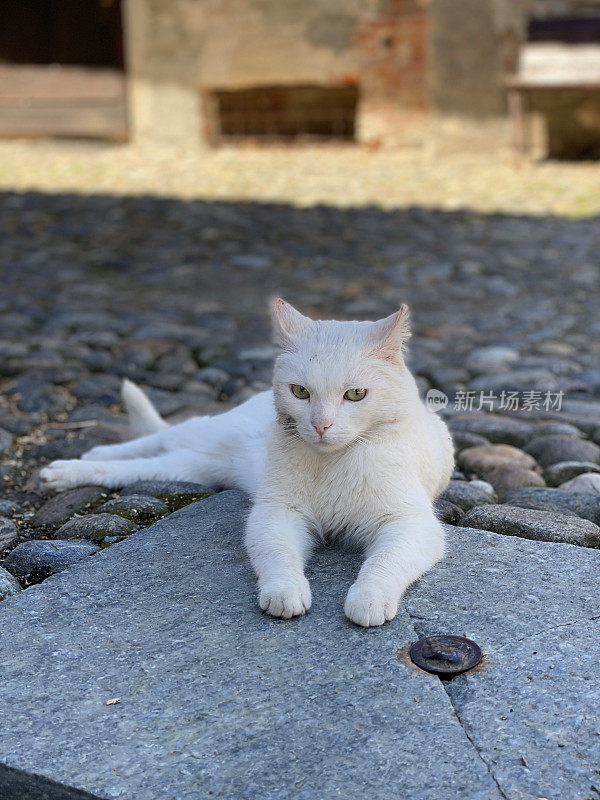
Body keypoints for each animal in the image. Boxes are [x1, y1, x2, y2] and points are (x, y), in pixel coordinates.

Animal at [39, 298, 452, 624]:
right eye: (300, 392)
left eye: (355, 394)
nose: (320, 425)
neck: (333, 462)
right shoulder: (275, 513)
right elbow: (278, 554)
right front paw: (285, 592)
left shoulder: (411, 523)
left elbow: (386, 561)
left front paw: (369, 598)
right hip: (206, 434)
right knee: (160, 436)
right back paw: (71, 466)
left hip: (192, 467)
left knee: (141, 464)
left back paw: (78, 466)